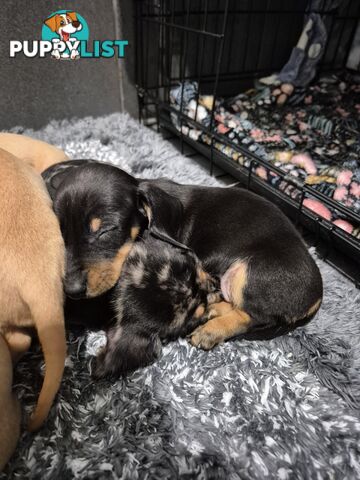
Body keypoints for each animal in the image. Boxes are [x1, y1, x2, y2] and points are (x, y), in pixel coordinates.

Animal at [43, 160, 324, 348]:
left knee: (252, 316)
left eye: (106, 230)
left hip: (247, 273)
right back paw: (214, 310)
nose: (72, 291)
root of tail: (317, 297)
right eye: (60, 233)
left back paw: (212, 330)